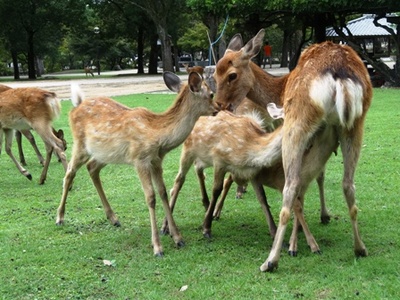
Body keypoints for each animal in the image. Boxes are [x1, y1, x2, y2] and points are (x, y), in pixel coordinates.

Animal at [55, 71, 216, 256]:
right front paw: (157, 247)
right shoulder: (140, 159)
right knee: (69, 173)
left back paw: (114, 218)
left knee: (92, 168)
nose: (219, 108)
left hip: (106, 154)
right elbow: (150, 197)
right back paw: (59, 218)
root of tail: (77, 105)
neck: (158, 136)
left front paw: (178, 238)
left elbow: (163, 193)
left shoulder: (156, 161)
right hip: (80, 145)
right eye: (211, 94)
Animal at [216, 28, 372, 272]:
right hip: (354, 124)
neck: (279, 90)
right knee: (348, 184)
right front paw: (319, 221)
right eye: (215, 71)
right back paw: (360, 248)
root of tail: (339, 75)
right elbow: (318, 175)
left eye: (232, 75)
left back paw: (271, 260)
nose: (219, 105)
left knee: (291, 186)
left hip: (297, 123)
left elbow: (302, 185)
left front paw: (294, 244)